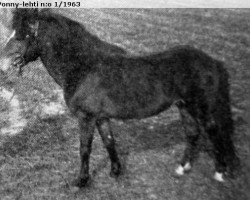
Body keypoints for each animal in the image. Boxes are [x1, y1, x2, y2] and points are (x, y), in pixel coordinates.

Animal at [2, 9, 239, 188]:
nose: (3, 64)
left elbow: (84, 149)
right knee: (192, 134)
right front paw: (115, 171)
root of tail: (213, 61)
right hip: (184, 106)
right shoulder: (100, 117)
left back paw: (220, 172)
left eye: (22, 36)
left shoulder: (86, 117)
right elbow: (109, 142)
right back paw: (182, 168)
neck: (83, 67)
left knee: (213, 133)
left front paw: (81, 181)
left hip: (200, 107)